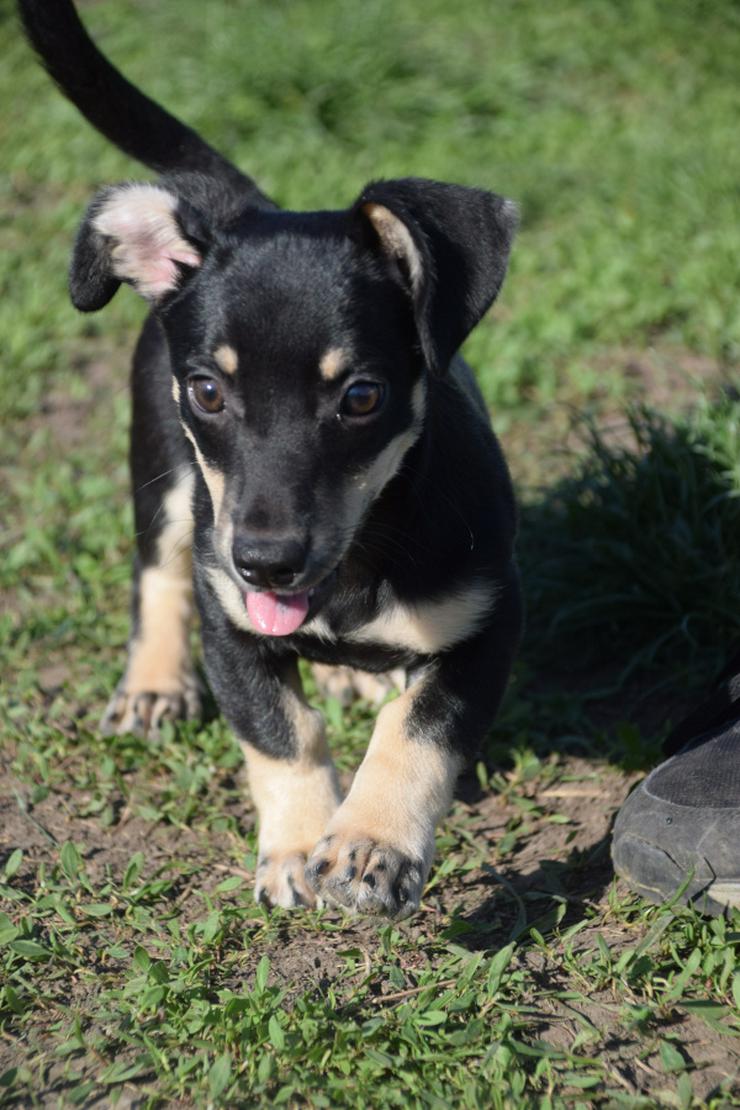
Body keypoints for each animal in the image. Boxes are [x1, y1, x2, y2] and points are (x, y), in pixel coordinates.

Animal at [21, 0, 521, 919]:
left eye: (360, 397)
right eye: (209, 392)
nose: (266, 562)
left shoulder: (487, 619)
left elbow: (417, 731)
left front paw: (368, 845)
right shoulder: (232, 623)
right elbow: (281, 733)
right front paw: (297, 847)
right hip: (165, 476)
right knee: (158, 572)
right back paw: (154, 685)